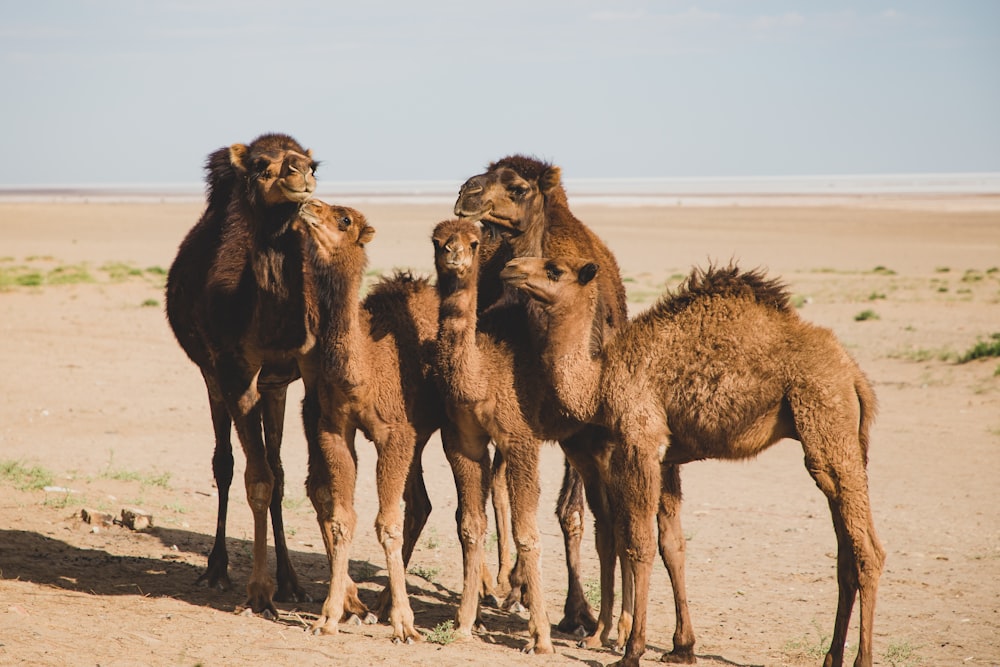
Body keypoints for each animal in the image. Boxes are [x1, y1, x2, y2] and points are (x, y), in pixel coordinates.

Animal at [504, 258, 888, 667]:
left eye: (554, 270)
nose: (511, 267)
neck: (601, 380)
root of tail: (854, 375)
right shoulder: (665, 456)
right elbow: (670, 544)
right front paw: (679, 647)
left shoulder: (641, 439)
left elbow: (639, 544)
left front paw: (632, 651)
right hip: (840, 442)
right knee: (845, 553)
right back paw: (831, 656)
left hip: (825, 418)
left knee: (868, 551)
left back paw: (862, 658)